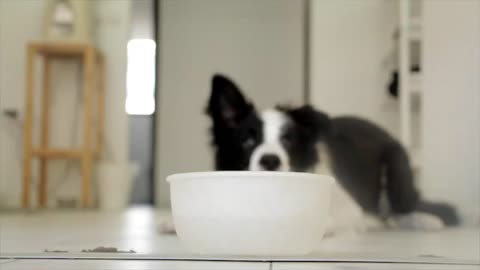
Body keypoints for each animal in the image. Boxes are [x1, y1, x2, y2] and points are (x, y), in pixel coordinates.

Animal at [205, 74, 458, 234]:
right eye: (247, 141)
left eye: (288, 140)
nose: (270, 161)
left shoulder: (349, 210)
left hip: (397, 169)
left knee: (400, 210)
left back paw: (424, 220)